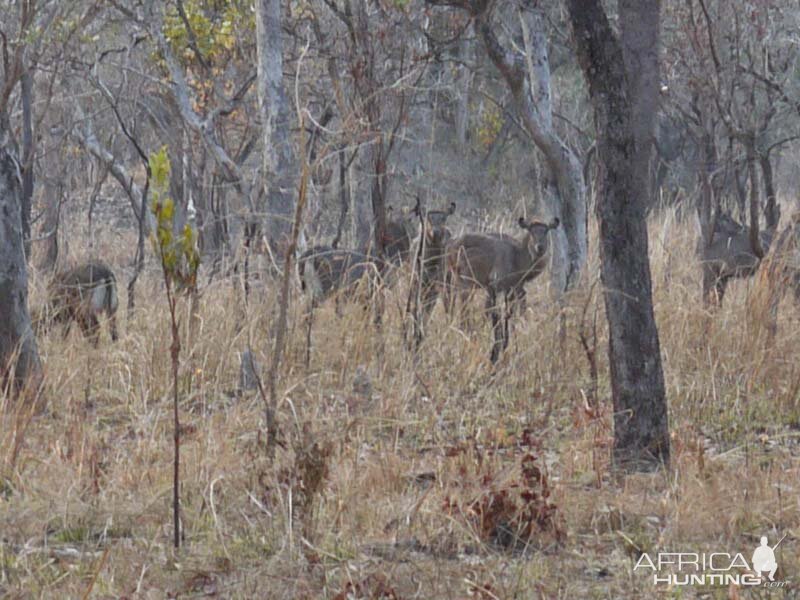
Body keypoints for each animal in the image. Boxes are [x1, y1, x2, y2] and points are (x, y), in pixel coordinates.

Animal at [446, 218, 560, 364]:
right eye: (531, 230)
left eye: (546, 230)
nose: (539, 247)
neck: (517, 257)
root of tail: (451, 245)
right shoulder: (495, 286)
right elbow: (493, 315)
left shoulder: (509, 290)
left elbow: (507, 315)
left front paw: (505, 345)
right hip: (465, 284)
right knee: (464, 312)